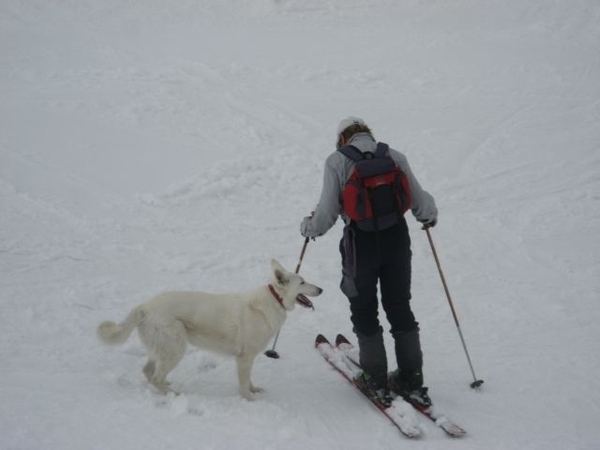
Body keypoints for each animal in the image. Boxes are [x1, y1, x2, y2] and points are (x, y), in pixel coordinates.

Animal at [97, 258, 324, 400]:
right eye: (303, 282)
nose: (321, 289)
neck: (274, 300)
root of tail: (144, 307)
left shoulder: (248, 359)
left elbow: (249, 381)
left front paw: (254, 390)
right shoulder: (244, 359)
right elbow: (243, 385)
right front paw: (249, 399)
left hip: (163, 348)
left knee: (148, 372)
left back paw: (167, 387)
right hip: (175, 348)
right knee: (155, 377)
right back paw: (174, 395)